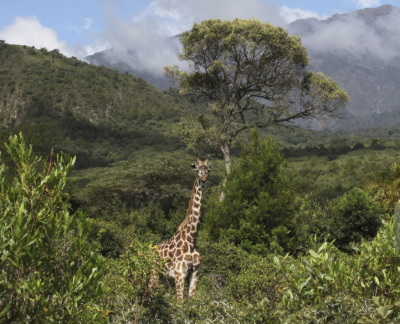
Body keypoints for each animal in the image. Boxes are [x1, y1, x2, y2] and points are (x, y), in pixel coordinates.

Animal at [155, 158, 211, 300]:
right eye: (197, 170)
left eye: (208, 170)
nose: (203, 177)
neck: (191, 239)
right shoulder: (180, 274)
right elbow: (180, 301)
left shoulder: (195, 274)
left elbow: (192, 301)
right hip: (154, 273)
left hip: (164, 279)